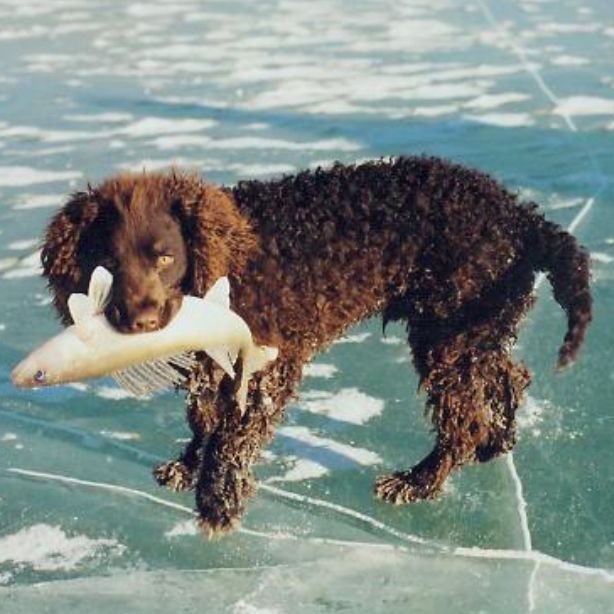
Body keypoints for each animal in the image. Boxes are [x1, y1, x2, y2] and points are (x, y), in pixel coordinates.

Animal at [39, 156, 592, 536]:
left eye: (165, 257)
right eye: (107, 264)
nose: (141, 321)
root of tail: (519, 216)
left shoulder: (268, 366)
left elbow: (232, 439)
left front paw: (218, 502)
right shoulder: (210, 363)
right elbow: (203, 419)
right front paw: (190, 464)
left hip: (447, 336)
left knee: (462, 420)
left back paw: (418, 481)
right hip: (473, 330)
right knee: (509, 375)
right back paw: (498, 439)